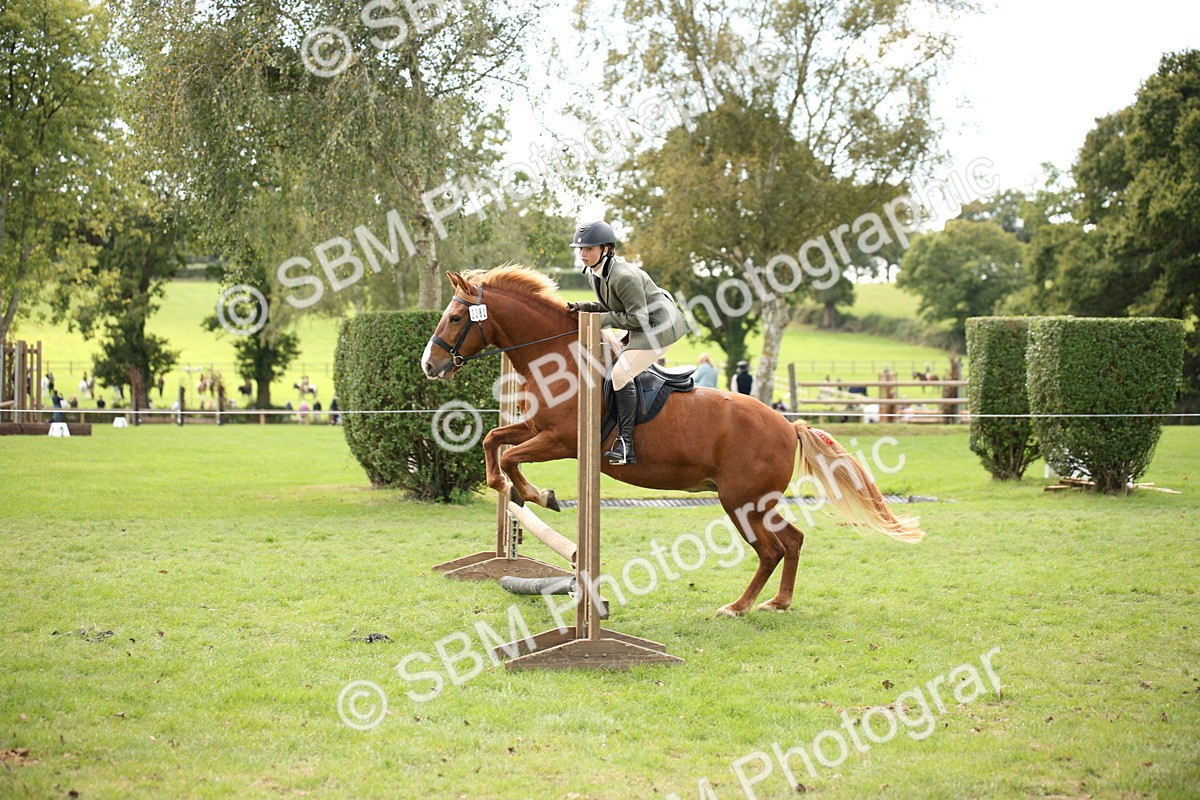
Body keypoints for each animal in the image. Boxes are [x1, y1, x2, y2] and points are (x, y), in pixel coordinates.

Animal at [421, 266, 922, 617]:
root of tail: (787, 425)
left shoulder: (562, 441)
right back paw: (776, 603)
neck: (560, 357)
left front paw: (537, 495)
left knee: (771, 550)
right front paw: (516, 492)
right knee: (792, 541)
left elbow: (511, 458)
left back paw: (737, 607)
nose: (429, 366)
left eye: (454, 317)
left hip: (741, 499)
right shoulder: (535, 428)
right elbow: (494, 441)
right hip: (757, 500)